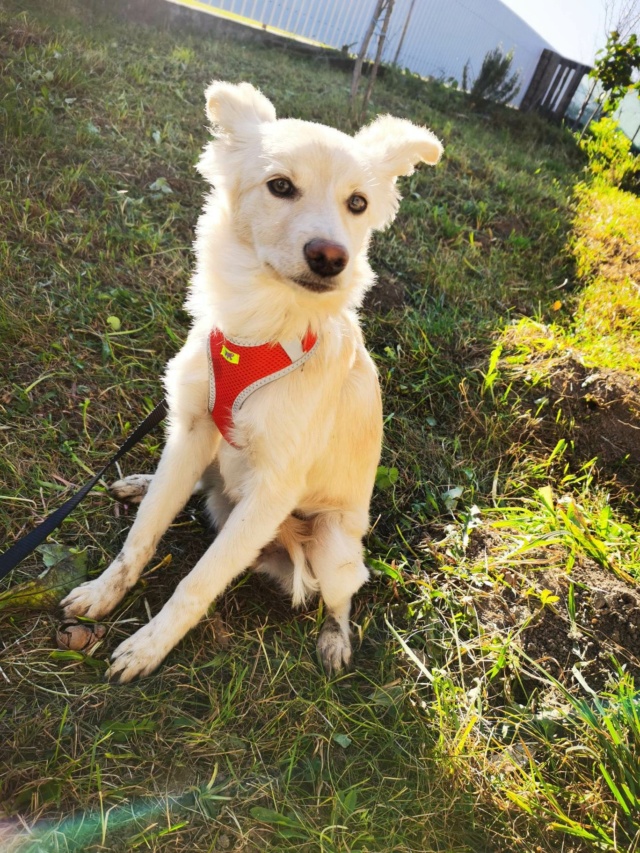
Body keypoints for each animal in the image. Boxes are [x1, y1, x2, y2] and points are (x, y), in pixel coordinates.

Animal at [60, 80, 442, 680]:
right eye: (280, 186)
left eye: (357, 203)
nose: (331, 257)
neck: (262, 330)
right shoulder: (194, 427)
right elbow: (140, 537)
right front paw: (104, 592)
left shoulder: (272, 490)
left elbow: (198, 581)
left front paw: (149, 646)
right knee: (185, 486)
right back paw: (142, 482)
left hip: (332, 545)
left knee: (342, 598)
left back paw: (335, 639)